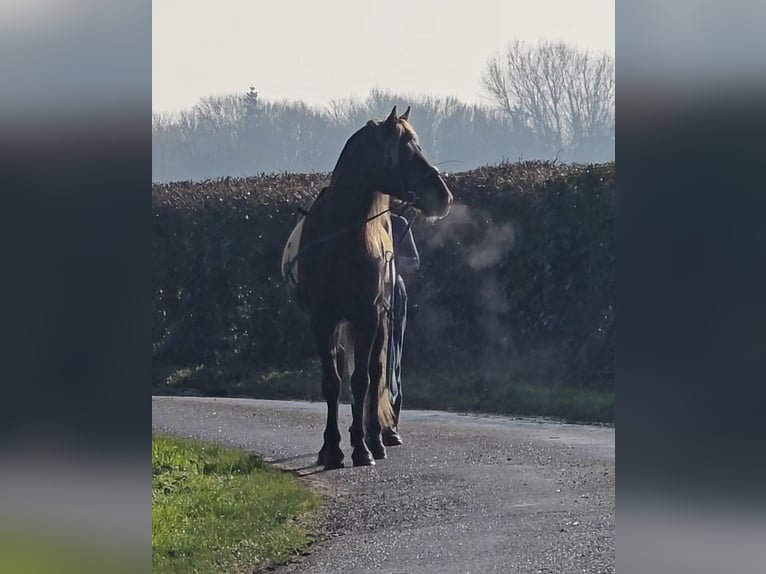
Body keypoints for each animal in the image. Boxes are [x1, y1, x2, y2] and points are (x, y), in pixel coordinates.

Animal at [281, 106, 453, 469]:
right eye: (405, 151)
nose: (443, 197)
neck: (343, 238)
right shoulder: (323, 320)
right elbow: (332, 382)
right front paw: (331, 449)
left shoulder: (367, 316)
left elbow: (362, 381)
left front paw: (361, 448)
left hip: (383, 321)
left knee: (376, 375)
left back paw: (375, 438)